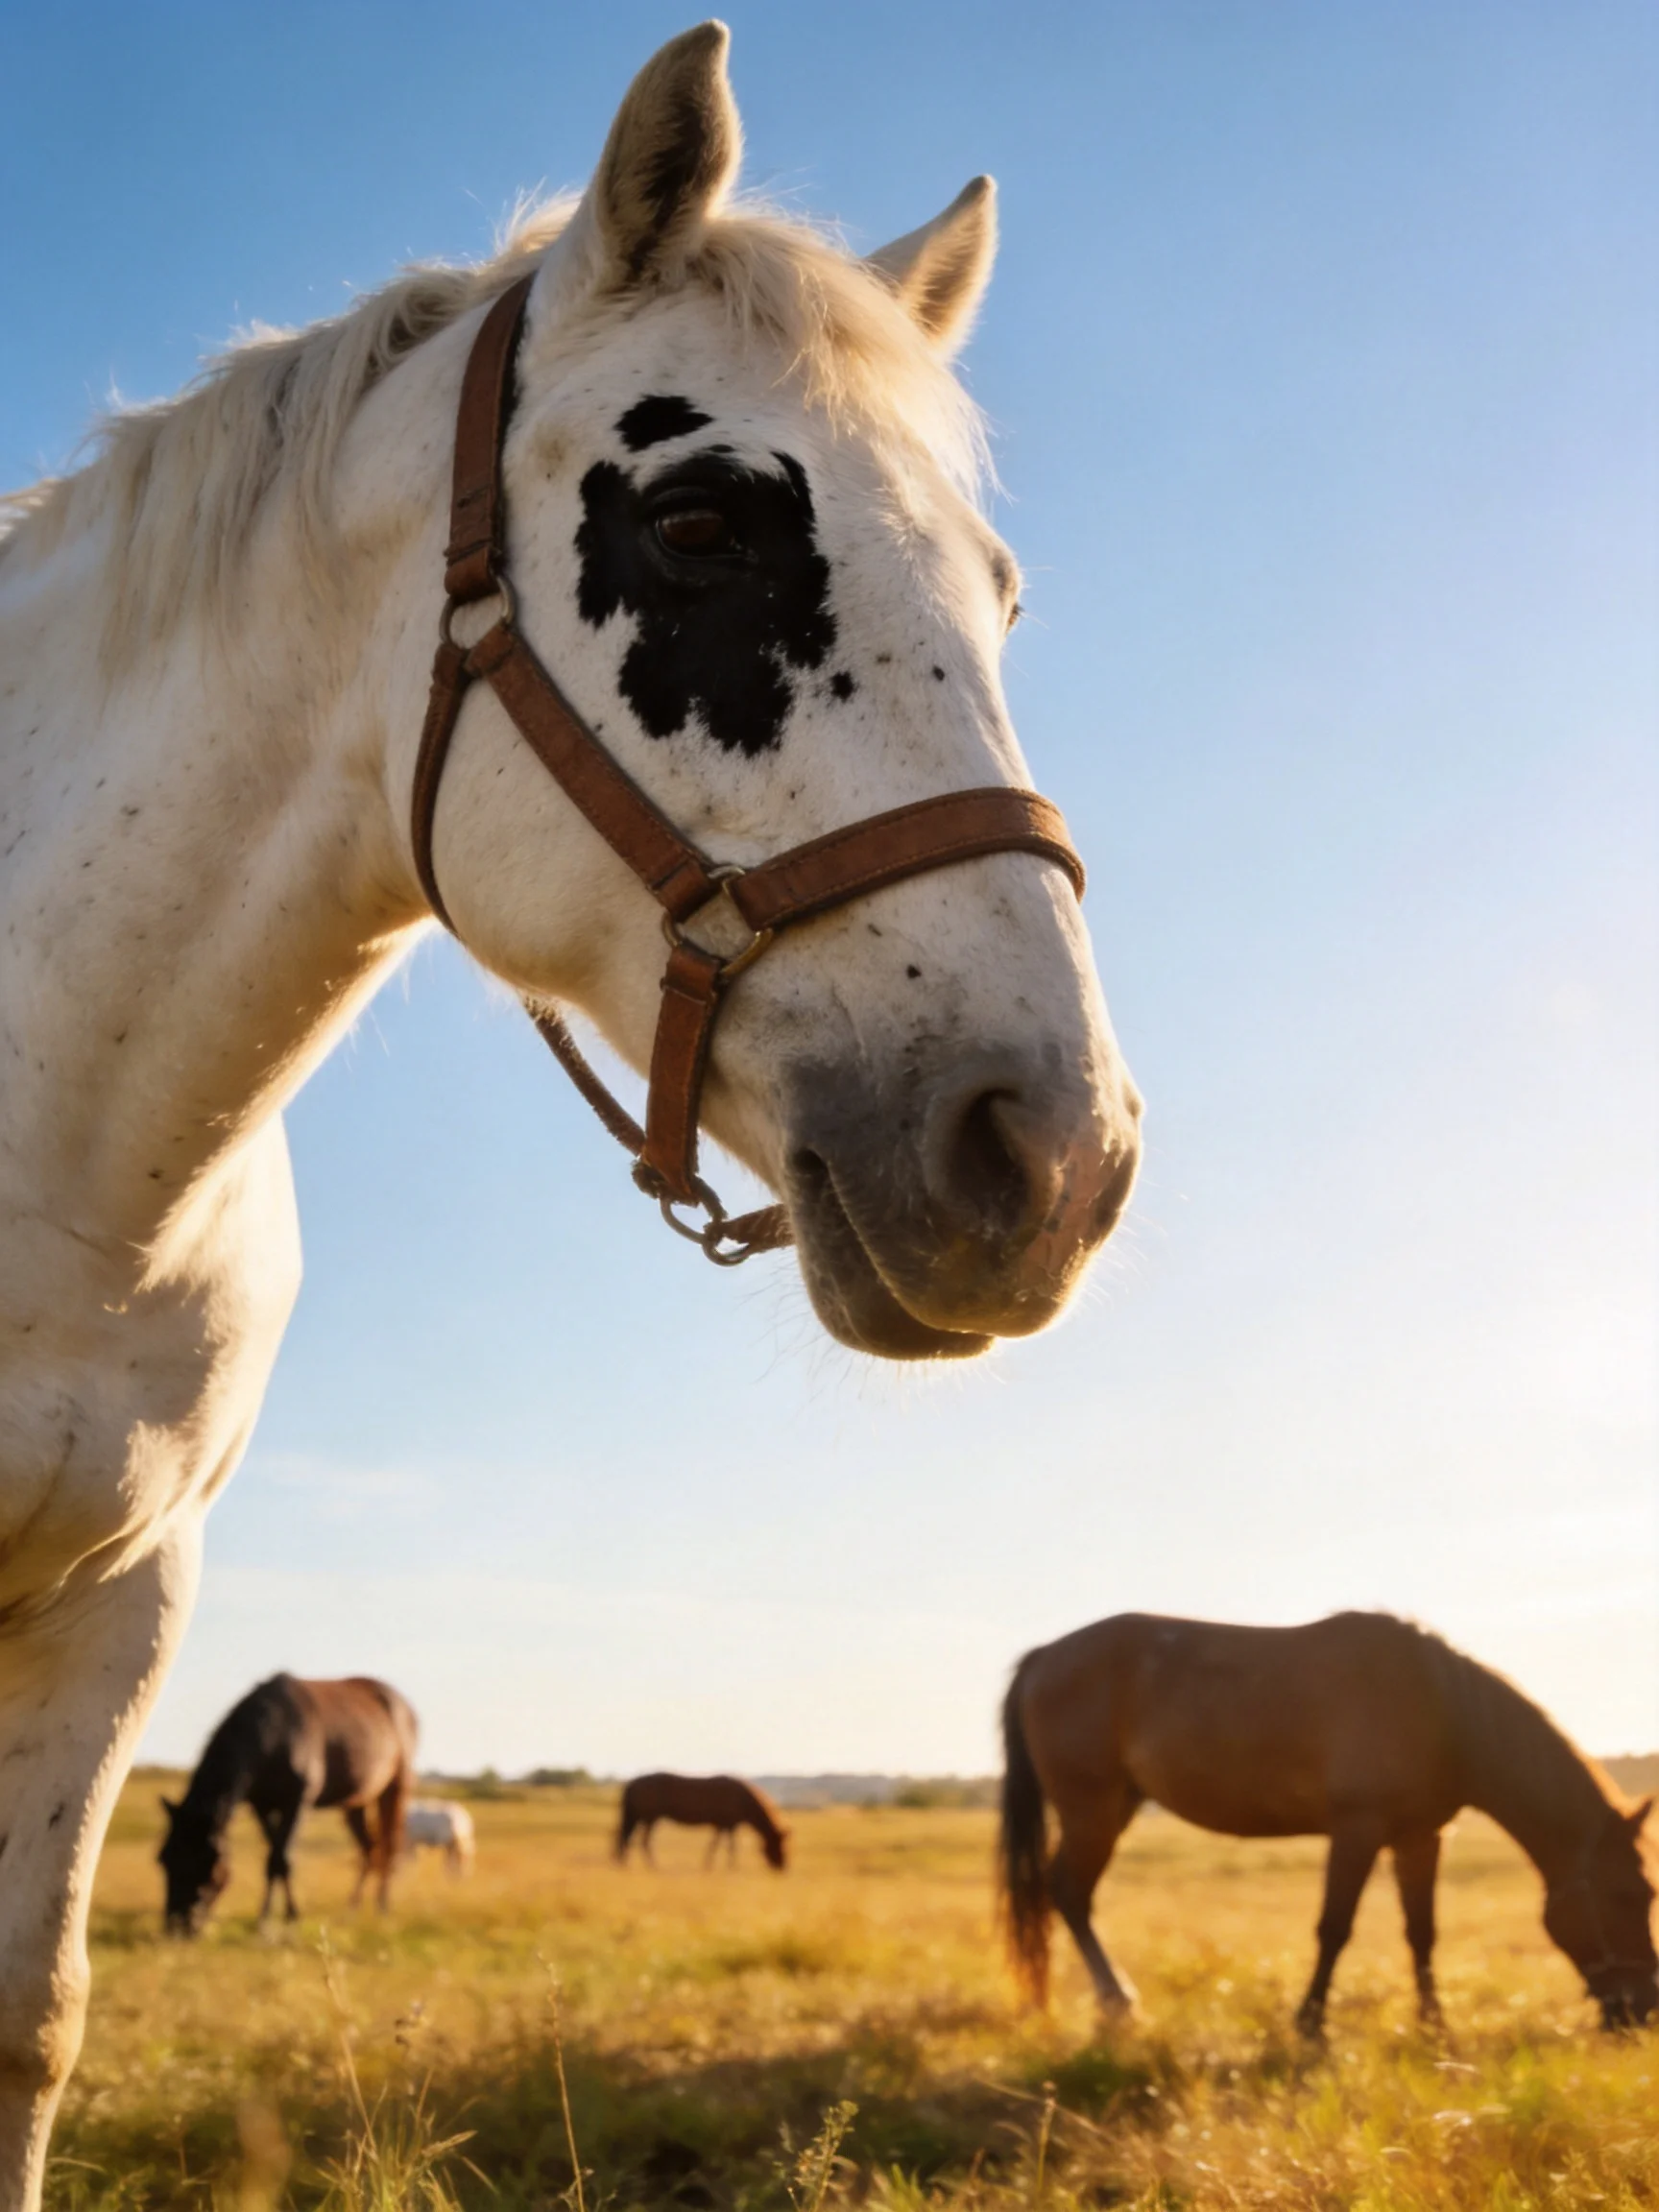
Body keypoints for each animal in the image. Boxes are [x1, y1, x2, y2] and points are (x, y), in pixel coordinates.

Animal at [158, 1674, 418, 1934]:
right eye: (164, 1859)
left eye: (203, 1860)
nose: (175, 1927)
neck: (275, 1733)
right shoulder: (262, 1806)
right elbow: (273, 1857)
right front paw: (272, 1917)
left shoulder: (297, 1802)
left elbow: (281, 1859)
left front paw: (282, 1918)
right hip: (356, 1802)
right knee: (369, 1848)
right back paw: (352, 1908)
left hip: (395, 1789)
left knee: (389, 1847)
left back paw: (382, 1908)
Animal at [617, 1773, 790, 1869]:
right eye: (779, 1845)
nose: (783, 1867)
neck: (742, 1799)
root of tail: (632, 1783)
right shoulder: (726, 1825)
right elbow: (727, 1846)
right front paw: (730, 1866)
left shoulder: (724, 1825)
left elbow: (718, 1845)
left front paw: (712, 1865)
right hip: (649, 1818)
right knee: (642, 1841)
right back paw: (653, 1866)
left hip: (640, 1818)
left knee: (627, 1839)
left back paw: (626, 1864)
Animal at [1000, 1611, 1657, 2034]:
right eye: (1631, 1895)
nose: (1644, 2008)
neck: (1439, 1709)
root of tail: (1043, 1657)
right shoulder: (1357, 1830)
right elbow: (1334, 1928)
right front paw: (1311, 2023)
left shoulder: (1420, 1838)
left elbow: (1422, 1932)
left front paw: (1433, 2023)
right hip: (1091, 1812)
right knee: (1068, 1893)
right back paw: (1118, 2002)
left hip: (1115, 1808)